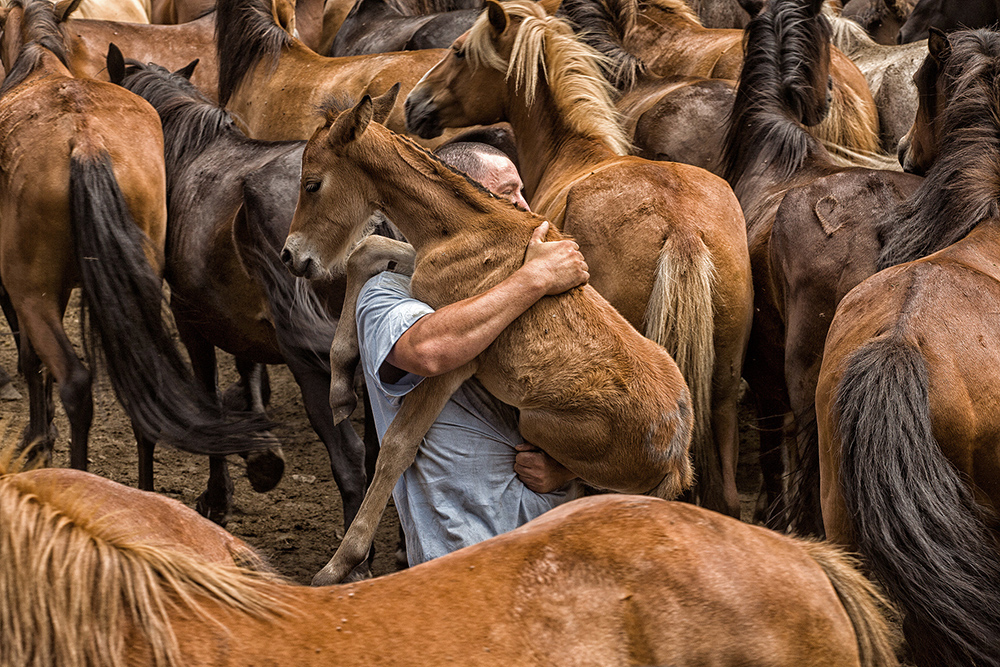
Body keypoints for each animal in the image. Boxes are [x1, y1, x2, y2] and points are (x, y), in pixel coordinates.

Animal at [112, 53, 375, 533]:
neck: (188, 153)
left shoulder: (191, 319)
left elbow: (209, 394)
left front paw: (219, 495)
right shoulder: (242, 318)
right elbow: (248, 368)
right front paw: (260, 454)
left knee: (351, 460)